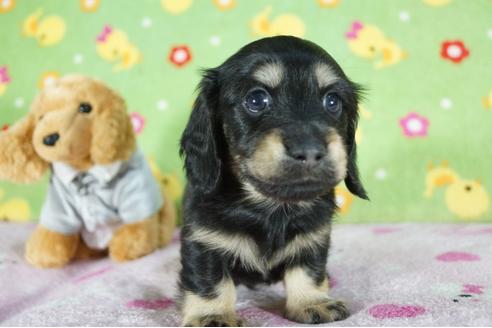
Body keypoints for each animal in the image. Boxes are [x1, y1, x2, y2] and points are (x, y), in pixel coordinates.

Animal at [179, 36, 368, 326]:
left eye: (332, 101)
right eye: (257, 99)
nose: (309, 150)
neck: (272, 207)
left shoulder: (313, 239)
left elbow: (308, 270)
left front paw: (311, 301)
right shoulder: (203, 241)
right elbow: (209, 280)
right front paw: (212, 315)